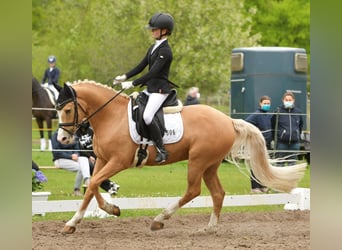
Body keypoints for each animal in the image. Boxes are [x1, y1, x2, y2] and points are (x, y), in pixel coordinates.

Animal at [56, 80, 308, 234]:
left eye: (67, 110)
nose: (63, 138)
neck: (111, 116)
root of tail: (227, 120)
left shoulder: (119, 161)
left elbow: (94, 184)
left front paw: (108, 211)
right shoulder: (102, 160)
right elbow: (92, 185)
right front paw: (78, 221)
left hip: (198, 161)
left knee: (193, 191)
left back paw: (160, 219)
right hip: (210, 165)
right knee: (218, 193)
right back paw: (210, 228)